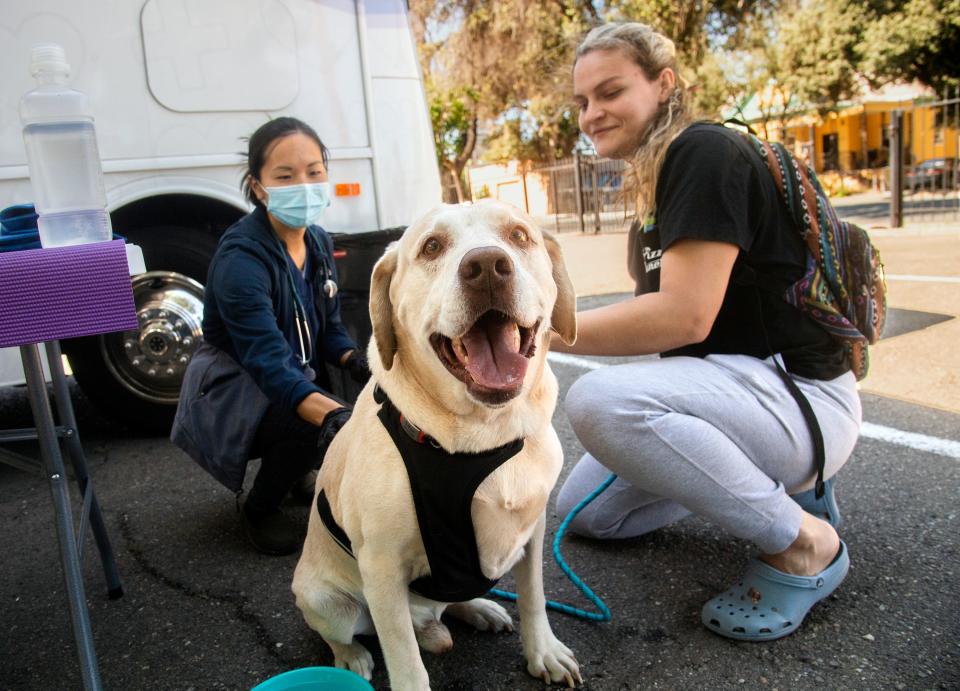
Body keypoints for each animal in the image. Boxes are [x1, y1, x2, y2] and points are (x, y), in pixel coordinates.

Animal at [290, 197, 576, 688]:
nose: (487, 266)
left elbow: (534, 596)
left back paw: (477, 608)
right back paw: (352, 657)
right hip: (324, 599)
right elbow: (404, 659)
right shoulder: (381, 566)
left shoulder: (532, 528)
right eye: (431, 247)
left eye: (519, 235)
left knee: (447, 601)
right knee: (346, 632)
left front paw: (543, 652)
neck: (485, 433)